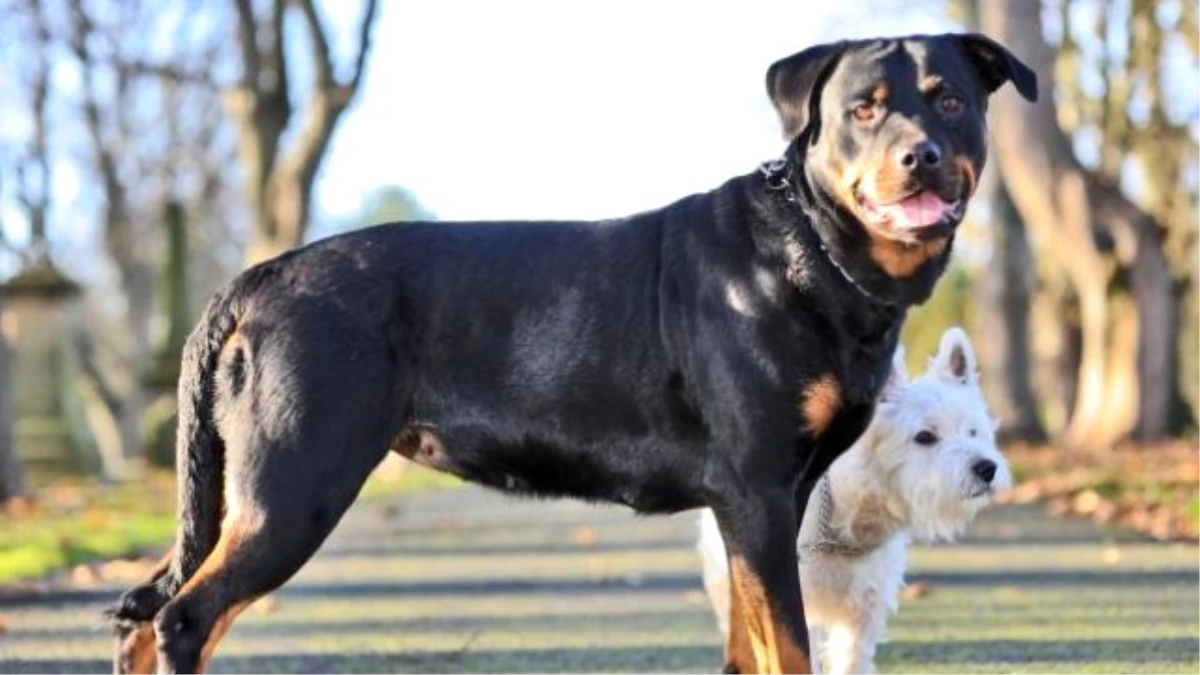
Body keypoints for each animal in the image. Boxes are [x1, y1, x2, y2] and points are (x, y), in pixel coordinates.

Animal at [108, 31, 1036, 672]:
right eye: (864, 108)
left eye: (950, 100)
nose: (920, 156)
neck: (809, 251)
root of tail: (257, 277)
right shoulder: (760, 493)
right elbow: (789, 645)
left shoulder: (764, 503)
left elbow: (750, 646)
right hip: (294, 483)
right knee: (183, 616)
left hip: (247, 494)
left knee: (144, 614)